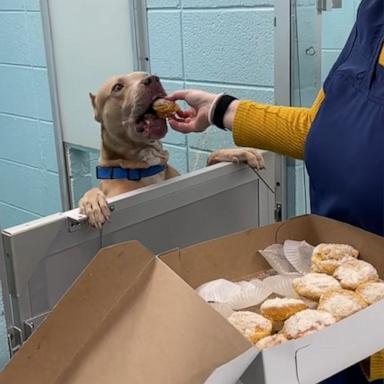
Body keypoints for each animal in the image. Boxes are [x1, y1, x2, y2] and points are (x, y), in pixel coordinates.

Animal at [78, 72, 264, 228]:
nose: (152, 79)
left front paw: (236, 152)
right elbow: (93, 192)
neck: (147, 161)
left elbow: (211, 157)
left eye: (144, 74)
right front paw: (92, 201)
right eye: (117, 87)